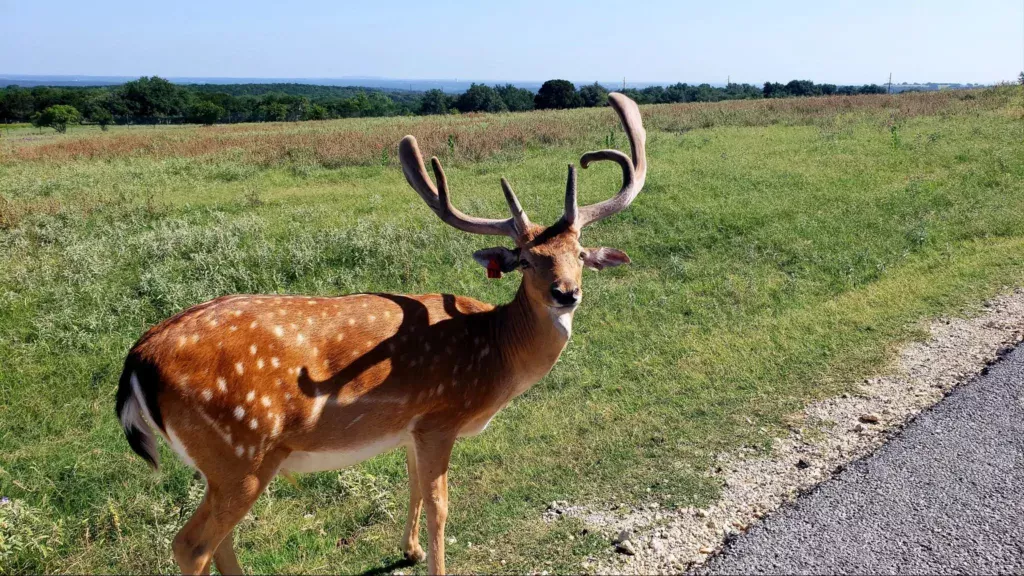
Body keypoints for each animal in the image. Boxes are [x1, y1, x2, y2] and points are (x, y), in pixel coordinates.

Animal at [116, 91, 647, 569]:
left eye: (579, 254)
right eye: (528, 261)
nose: (566, 293)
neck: (495, 353)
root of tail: (139, 358)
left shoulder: (411, 426)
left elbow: (413, 488)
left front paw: (409, 551)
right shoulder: (440, 418)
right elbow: (440, 508)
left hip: (226, 465)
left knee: (218, 541)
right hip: (241, 452)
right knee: (191, 545)